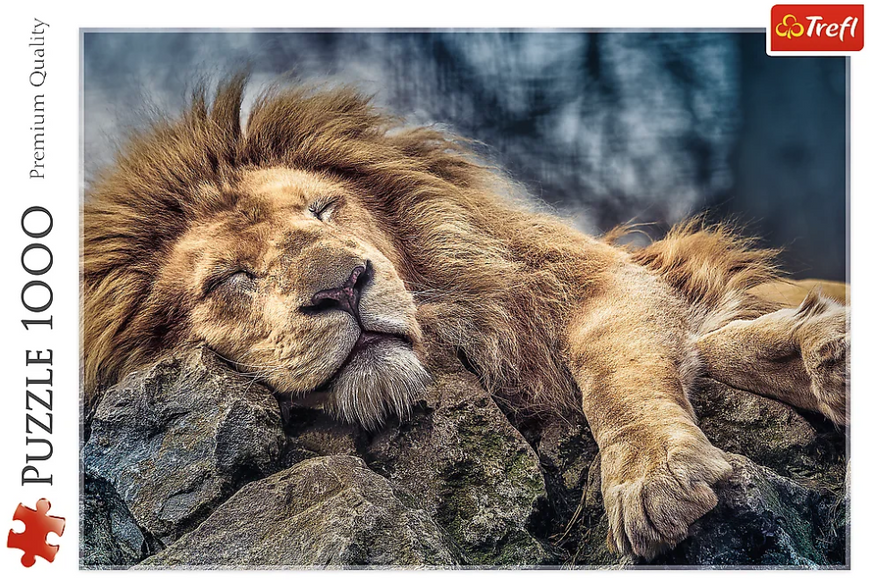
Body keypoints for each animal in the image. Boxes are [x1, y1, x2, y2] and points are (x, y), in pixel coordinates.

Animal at [83, 75, 848, 560]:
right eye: (230, 279)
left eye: (324, 210)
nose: (345, 286)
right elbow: (711, 345)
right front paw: (813, 352)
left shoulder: (598, 280)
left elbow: (618, 369)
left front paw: (655, 475)